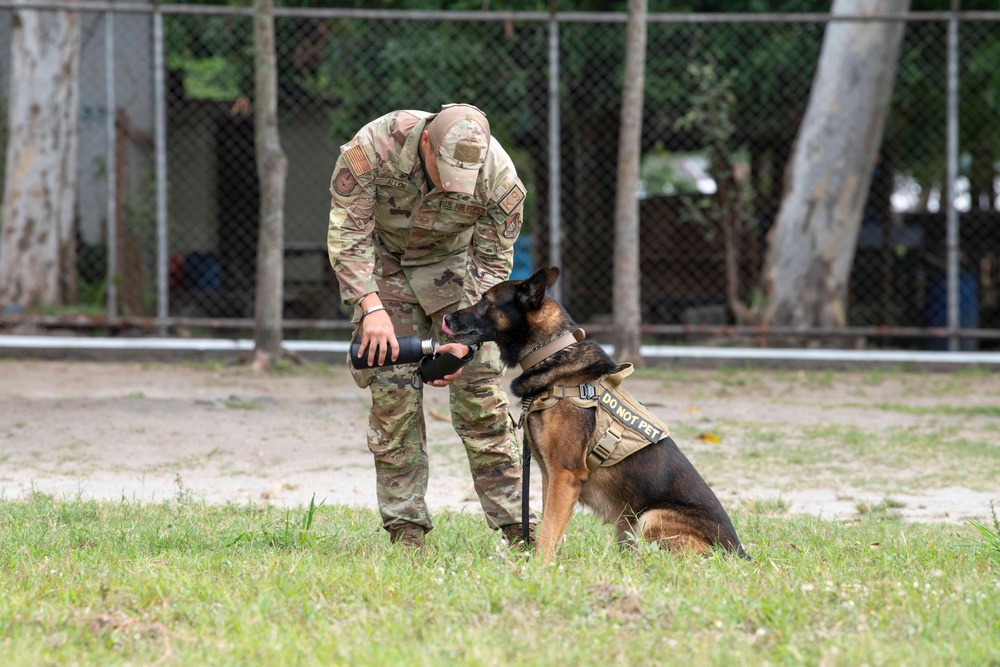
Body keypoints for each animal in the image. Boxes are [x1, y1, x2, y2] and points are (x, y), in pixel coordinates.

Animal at [442, 266, 748, 564]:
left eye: (485, 300)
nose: (446, 317)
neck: (551, 350)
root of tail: (740, 553)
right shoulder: (551, 476)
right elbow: (553, 528)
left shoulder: (565, 474)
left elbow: (549, 530)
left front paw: (539, 567)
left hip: (650, 518)